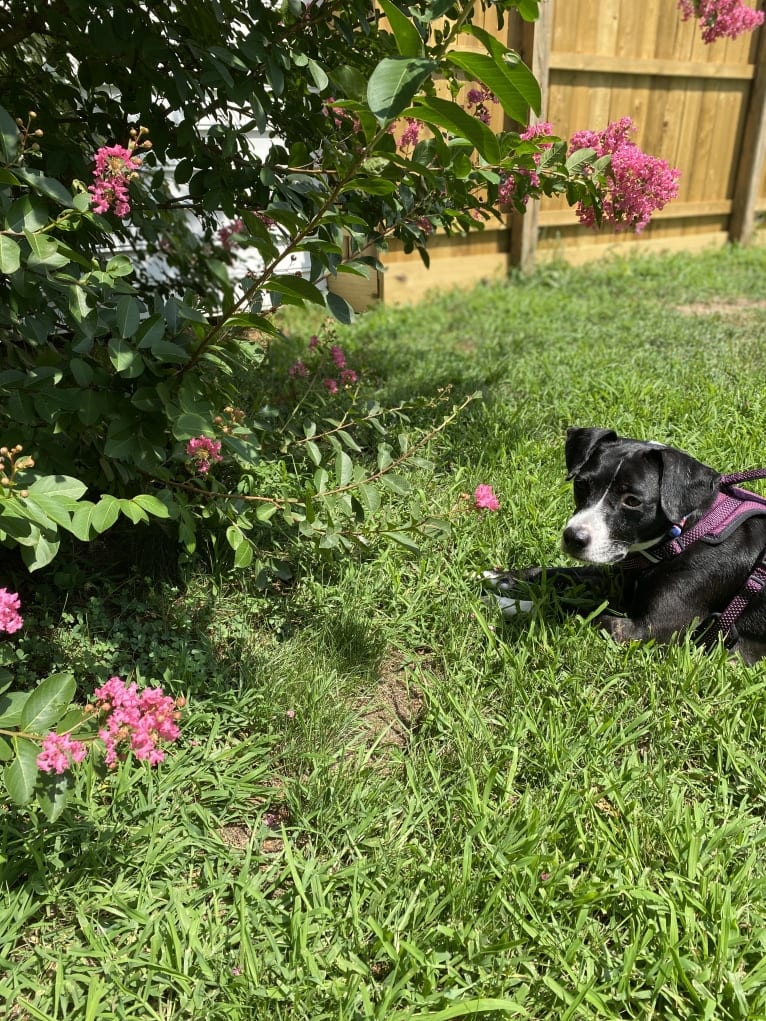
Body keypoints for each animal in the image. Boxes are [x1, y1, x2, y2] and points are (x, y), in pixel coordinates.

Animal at [482, 428, 766, 661]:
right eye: (581, 484)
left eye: (632, 501)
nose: (573, 537)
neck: (683, 535)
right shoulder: (615, 576)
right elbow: (556, 572)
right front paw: (501, 578)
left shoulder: (644, 630)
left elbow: (571, 608)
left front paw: (505, 604)